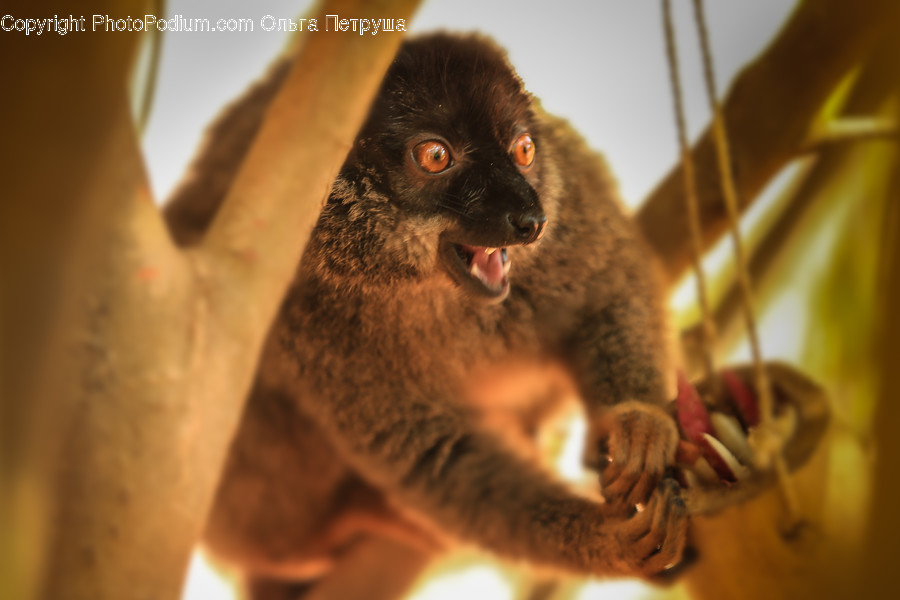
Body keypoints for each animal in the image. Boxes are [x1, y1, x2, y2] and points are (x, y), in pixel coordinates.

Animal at [165, 32, 687, 600]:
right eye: (436, 156)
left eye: (524, 150)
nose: (529, 219)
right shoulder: (296, 308)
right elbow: (431, 455)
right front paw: (603, 538)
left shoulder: (570, 198)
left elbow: (612, 282)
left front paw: (640, 425)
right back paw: (327, 533)